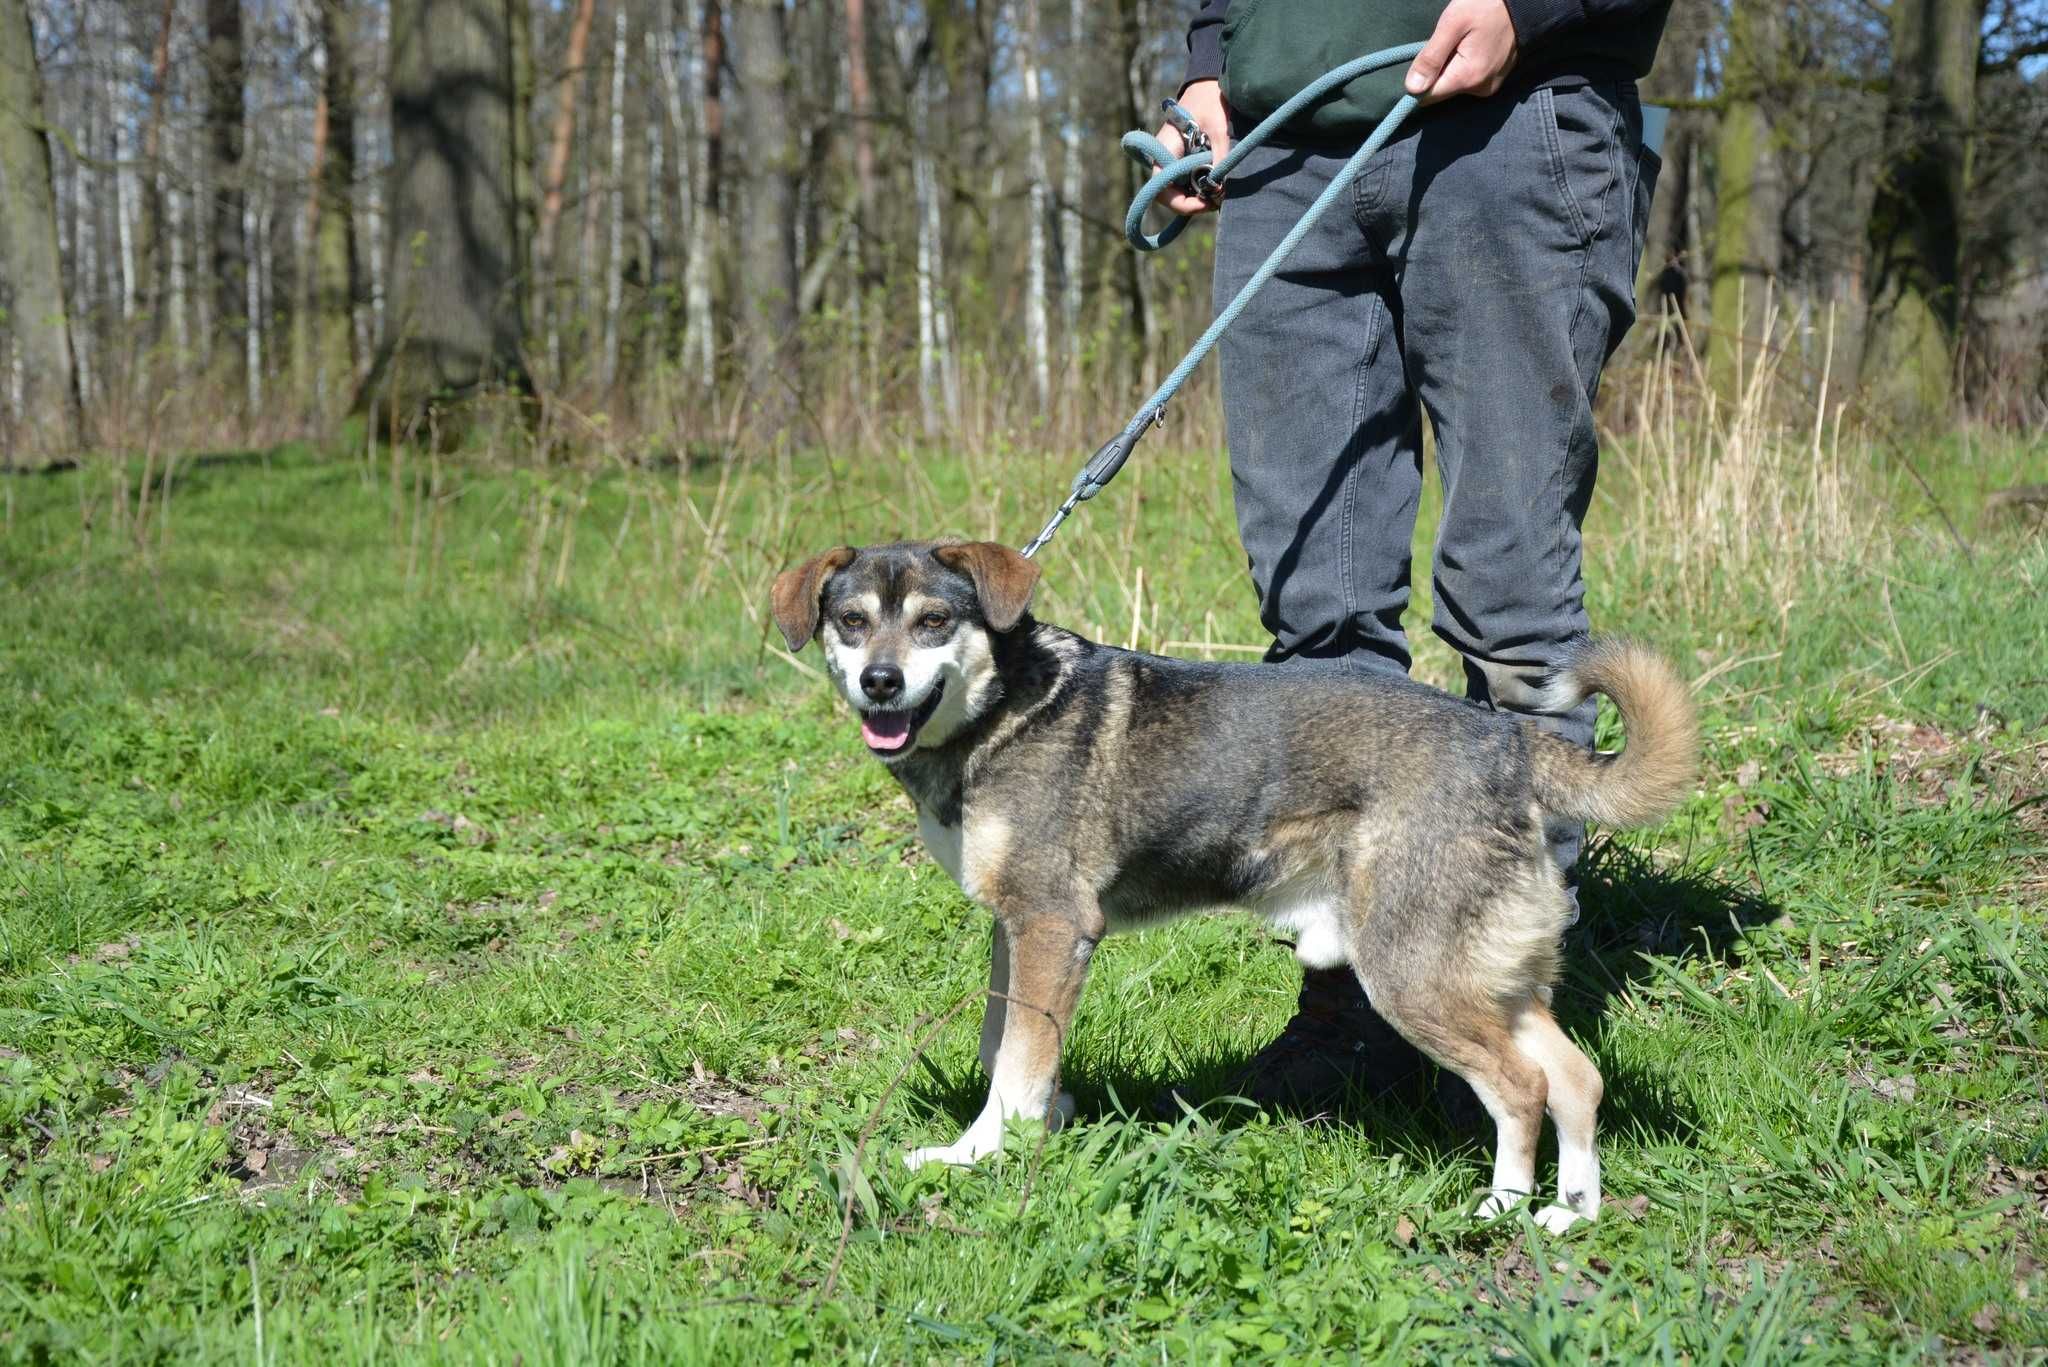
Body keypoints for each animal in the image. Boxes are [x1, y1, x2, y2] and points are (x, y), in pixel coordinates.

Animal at [770, 541, 1695, 1237]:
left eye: (934, 621)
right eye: (852, 622)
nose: (880, 682)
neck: (999, 707)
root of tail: (1508, 740)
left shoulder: (1053, 924)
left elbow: (1016, 1066)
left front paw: (982, 1155)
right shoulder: (1015, 929)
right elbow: (1005, 1046)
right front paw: (1034, 1121)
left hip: (1411, 974)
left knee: (1523, 1088)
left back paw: (1499, 1207)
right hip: (1485, 972)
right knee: (1577, 1079)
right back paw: (1570, 1214)